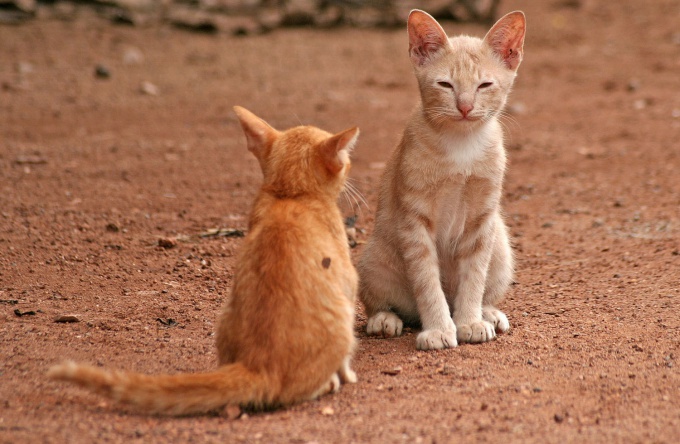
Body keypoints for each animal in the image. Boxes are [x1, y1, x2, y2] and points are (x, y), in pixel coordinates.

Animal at [48, 107, 362, 416]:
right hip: (340, 318)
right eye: (346, 161)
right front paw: (348, 375)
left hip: (225, 312)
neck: (290, 196)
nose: (350, 168)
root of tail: (258, 367)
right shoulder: (348, 279)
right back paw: (329, 383)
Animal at [356, 9, 524, 350]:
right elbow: (426, 280)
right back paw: (384, 319)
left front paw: (470, 321)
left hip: (501, 245)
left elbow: (474, 276)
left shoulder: (482, 219)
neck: (461, 145)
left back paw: (488, 313)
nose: (465, 106)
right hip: (374, 258)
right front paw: (438, 329)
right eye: (445, 84)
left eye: (485, 84)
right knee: (381, 302)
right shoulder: (414, 220)